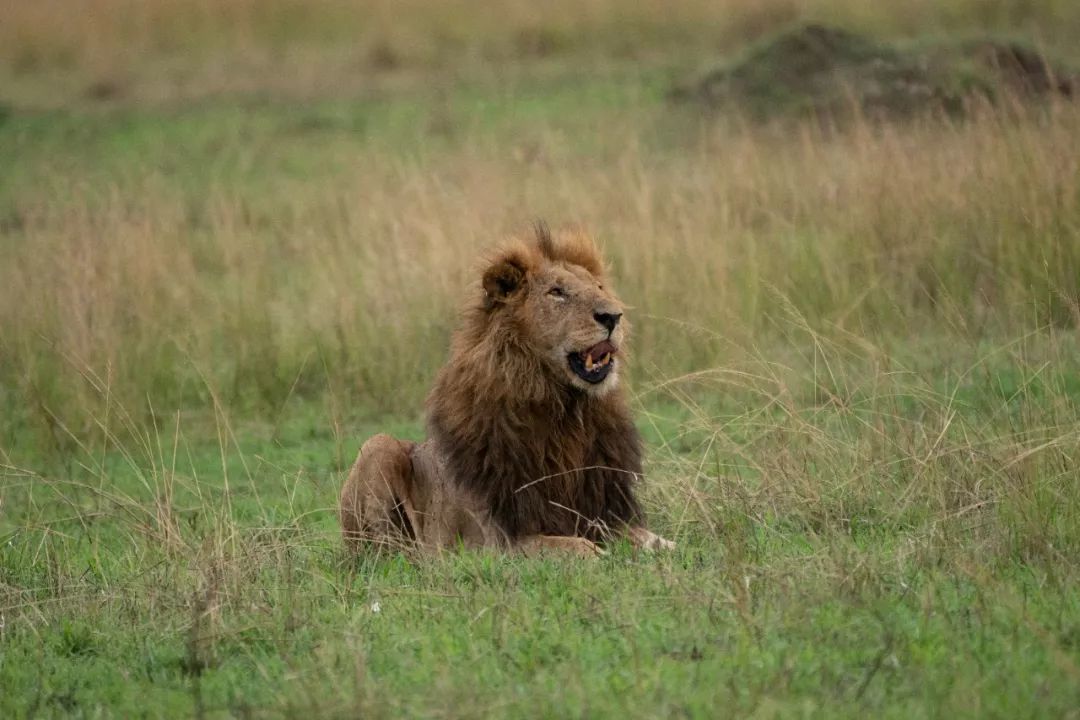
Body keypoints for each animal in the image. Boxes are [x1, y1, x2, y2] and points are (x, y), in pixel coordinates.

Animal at [339, 225, 673, 557]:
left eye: (600, 287)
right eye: (557, 292)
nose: (614, 316)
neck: (564, 411)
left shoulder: (600, 512)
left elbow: (650, 538)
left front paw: (662, 545)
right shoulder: (494, 541)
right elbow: (574, 546)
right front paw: (599, 553)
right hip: (378, 447)